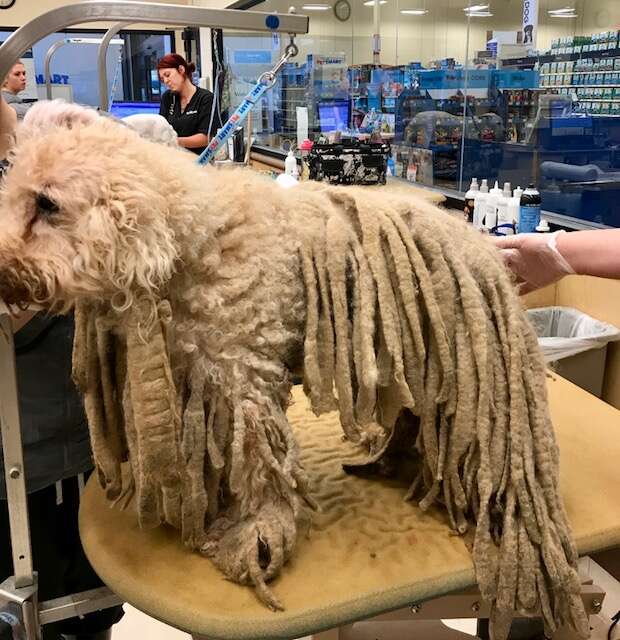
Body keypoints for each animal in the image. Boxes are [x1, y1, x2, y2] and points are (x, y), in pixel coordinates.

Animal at [0, 105, 588, 640]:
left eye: (47, 203)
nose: (4, 271)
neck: (192, 236)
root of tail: (486, 250)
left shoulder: (245, 375)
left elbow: (260, 465)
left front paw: (255, 538)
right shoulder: (205, 377)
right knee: (415, 419)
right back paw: (390, 462)